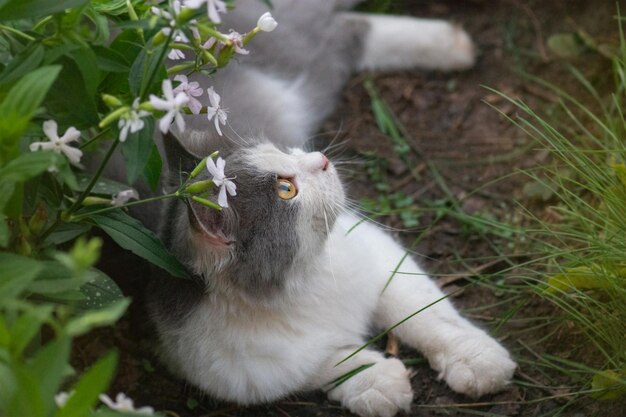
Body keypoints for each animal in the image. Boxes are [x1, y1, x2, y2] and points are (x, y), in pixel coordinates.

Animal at [144, 0, 516, 416]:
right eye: (286, 190)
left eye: (279, 148)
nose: (320, 159)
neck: (302, 284)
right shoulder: (232, 368)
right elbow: (326, 364)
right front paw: (378, 382)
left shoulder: (375, 252)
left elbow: (426, 312)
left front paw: (477, 359)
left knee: (339, 27)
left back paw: (453, 45)